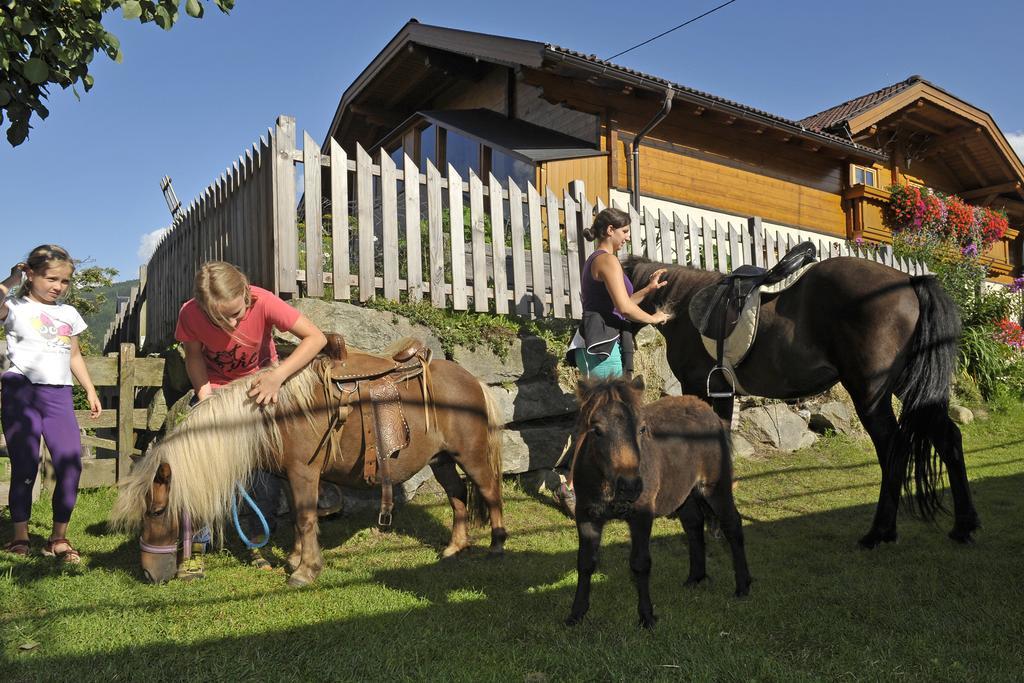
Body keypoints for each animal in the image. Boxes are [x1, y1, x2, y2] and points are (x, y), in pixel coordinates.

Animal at [113, 342, 507, 589]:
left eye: (157, 511)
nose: (148, 575)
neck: (273, 414)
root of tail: (472, 380)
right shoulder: (289, 476)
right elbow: (298, 519)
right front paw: (296, 559)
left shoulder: (304, 471)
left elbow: (304, 518)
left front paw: (305, 572)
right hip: (442, 461)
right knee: (457, 497)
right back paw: (455, 548)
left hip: (471, 458)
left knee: (490, 493)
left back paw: (497, 546)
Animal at [565, 376, 749, 626]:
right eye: (596, 430)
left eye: (642, 429)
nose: (630, 486)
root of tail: (708, 410)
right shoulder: (586, 516)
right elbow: (585, 563)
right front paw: (576, 613)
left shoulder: (641, 516)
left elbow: (641, 563)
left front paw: (646, 616)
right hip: (684, 493)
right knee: (694, 525)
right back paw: (695, 577)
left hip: (715, 488)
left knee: (732, 525)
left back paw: (743, 586)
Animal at [618, 255, 978, 548]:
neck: (684, 305)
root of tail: (910, 282)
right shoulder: (723, 394)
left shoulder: (700, 388)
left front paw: (711, 522)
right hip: (911, 387)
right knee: (948, 438)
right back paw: (963, 526)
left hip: (870, 393)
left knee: (893, 447)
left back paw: (880, 532)